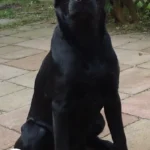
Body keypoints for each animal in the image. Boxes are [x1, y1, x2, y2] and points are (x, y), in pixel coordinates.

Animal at [13, 0, 127, 149]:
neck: (85, 41)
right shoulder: (60, 106)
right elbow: (61, 143)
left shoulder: (112, 97)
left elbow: (120, 136)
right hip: (36, 130)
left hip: (98, 120)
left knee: (88, 139)